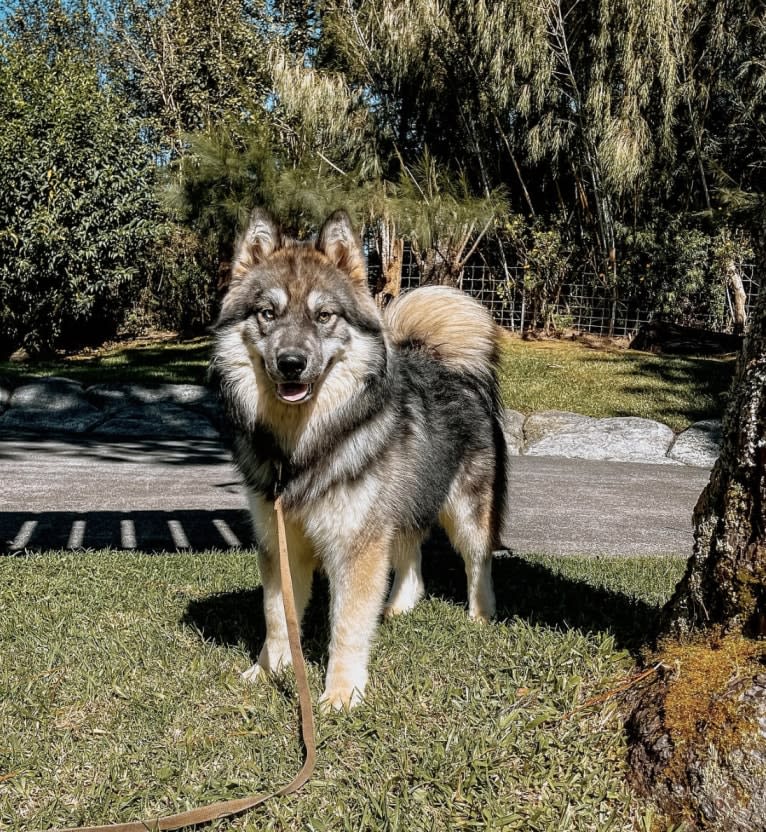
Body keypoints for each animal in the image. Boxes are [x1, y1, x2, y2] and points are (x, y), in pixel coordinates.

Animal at [212, 208, 510, 708]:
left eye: (324, 316)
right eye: (267, 313)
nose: (291, 362)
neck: (303, 447)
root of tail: (450, 367)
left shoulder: (356, 545)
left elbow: (348, 625)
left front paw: (340, 693)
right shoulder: (280, 541)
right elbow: (276, 616)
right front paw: (269, 669)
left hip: (466, 510)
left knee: (478, 560)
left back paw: (481, 615)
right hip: (400, 503)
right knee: (411, 557)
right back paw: (400, 606)